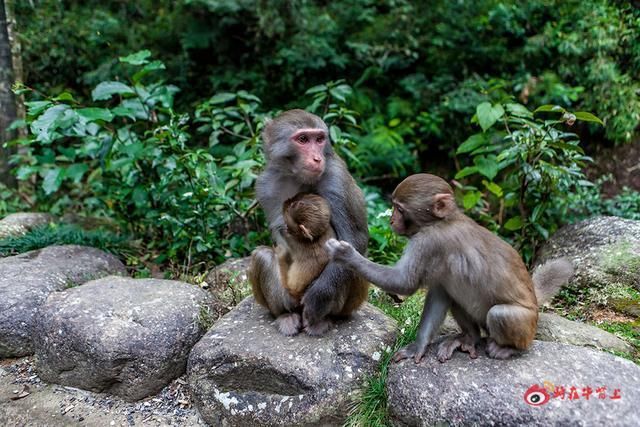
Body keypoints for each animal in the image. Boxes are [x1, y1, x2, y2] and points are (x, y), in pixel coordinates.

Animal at [328, 174, 572, 364]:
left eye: (399, 209)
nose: (391, 221)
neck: (441, 221)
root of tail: (535, 301)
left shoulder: (428, 243)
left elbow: (404, 283)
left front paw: (345, 254)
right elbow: (439, 294)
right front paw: (419, 346)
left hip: (527, 324)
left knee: (501, 315)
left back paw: (509, 348)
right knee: (455, 297)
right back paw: (469, 338)